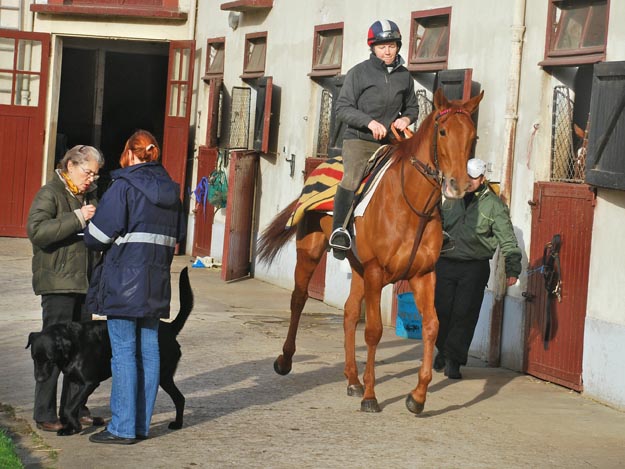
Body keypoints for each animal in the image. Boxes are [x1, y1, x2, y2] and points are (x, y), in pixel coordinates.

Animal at [26, 266, 193, 436]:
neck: (72, 346)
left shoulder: (89, 382)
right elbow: (69, 405)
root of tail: (170, 328)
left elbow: (69, 407)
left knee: (180, 398)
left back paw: (177, 424)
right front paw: (71, 428)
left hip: (163, 375)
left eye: (49, 359)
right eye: (34, 358)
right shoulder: (75, 381)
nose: (39, 379)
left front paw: (76, 426)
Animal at [258, 88, 482, 414]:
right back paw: (285, 360)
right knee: (298, 300)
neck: (409, 205)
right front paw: (371, 396)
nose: (459, 185)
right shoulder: (377, 271)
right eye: (442, 132)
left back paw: (352, 379)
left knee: (350, 312)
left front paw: (417, 396)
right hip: (311, 252)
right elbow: (374, 331)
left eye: (473, 136)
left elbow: (431, 326)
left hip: (357, 266)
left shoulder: (423, 274)